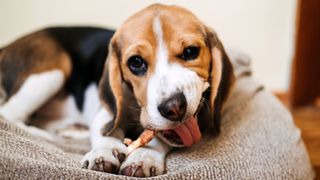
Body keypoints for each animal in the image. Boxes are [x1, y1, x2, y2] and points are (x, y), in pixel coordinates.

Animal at [0, 3, 234, 178]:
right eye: (136, 63)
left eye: (191, 52)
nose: (174, 107)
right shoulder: (107, 113)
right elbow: (107, 133)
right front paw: (103, 152)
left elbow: (158, 137)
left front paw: (143, 157)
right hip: (54, 70)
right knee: (11, 115)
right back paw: (49, 136)